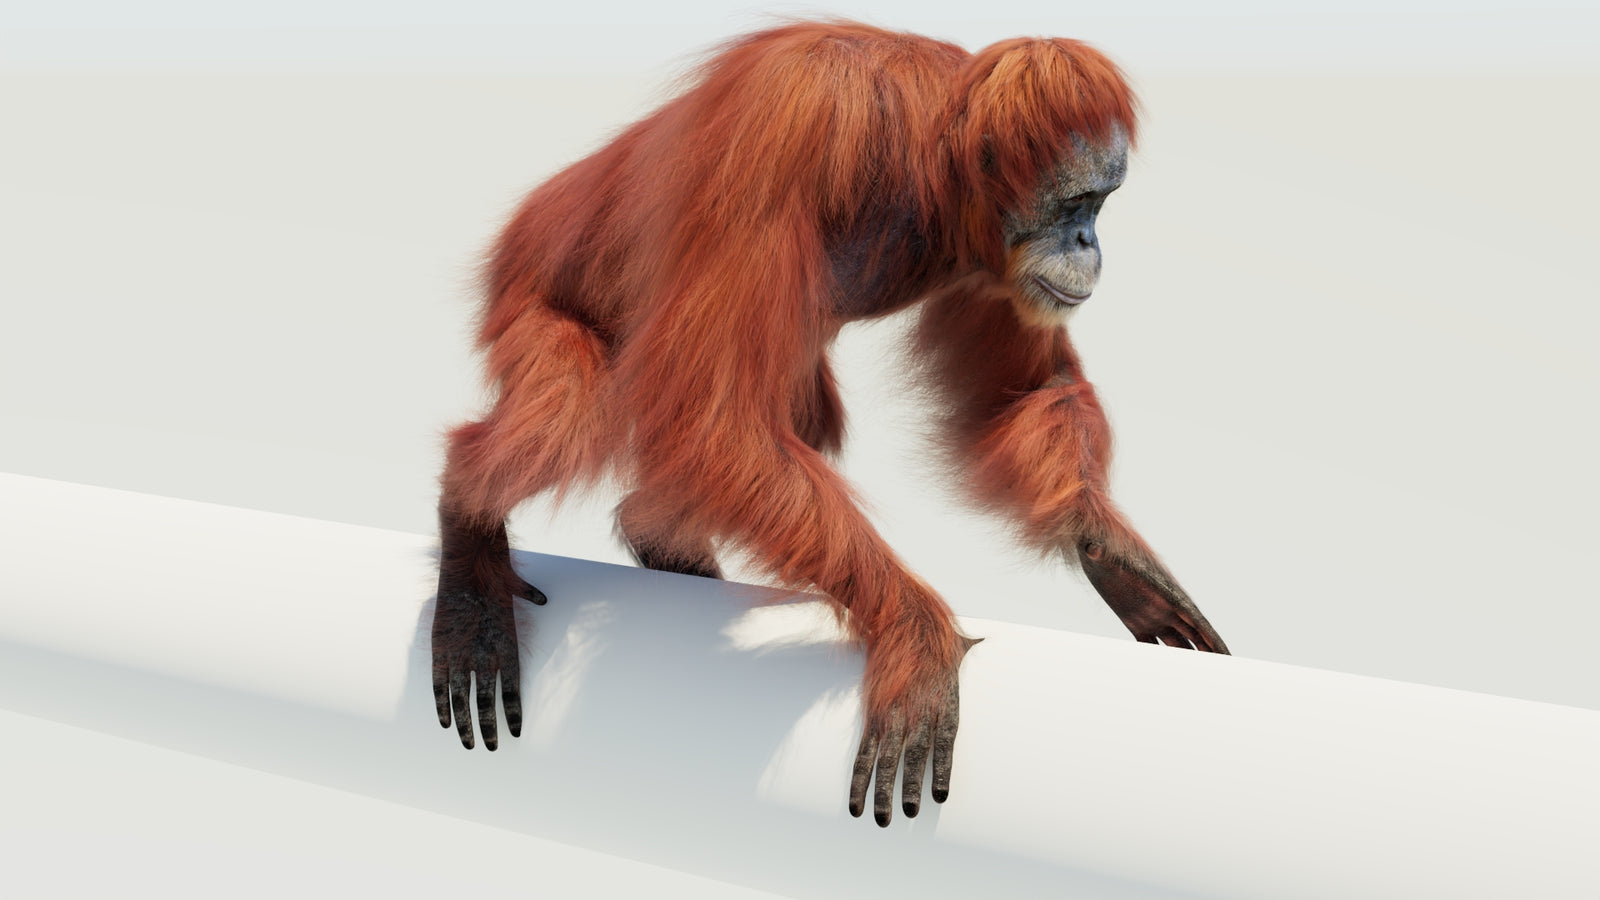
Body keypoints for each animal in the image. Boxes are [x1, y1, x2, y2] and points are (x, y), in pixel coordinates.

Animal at [430, 20, 1229, 828]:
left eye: (1101, 204)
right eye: (1078, 203)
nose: (1090, 244)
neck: (925, 161)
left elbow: (1022, 392)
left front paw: (1114, 554)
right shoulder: (792, 122)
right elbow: (716, 421)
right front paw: (915, 634)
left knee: (795, 413)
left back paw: (656, 535)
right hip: (529, 290)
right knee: (575, 412)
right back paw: (469, 534)